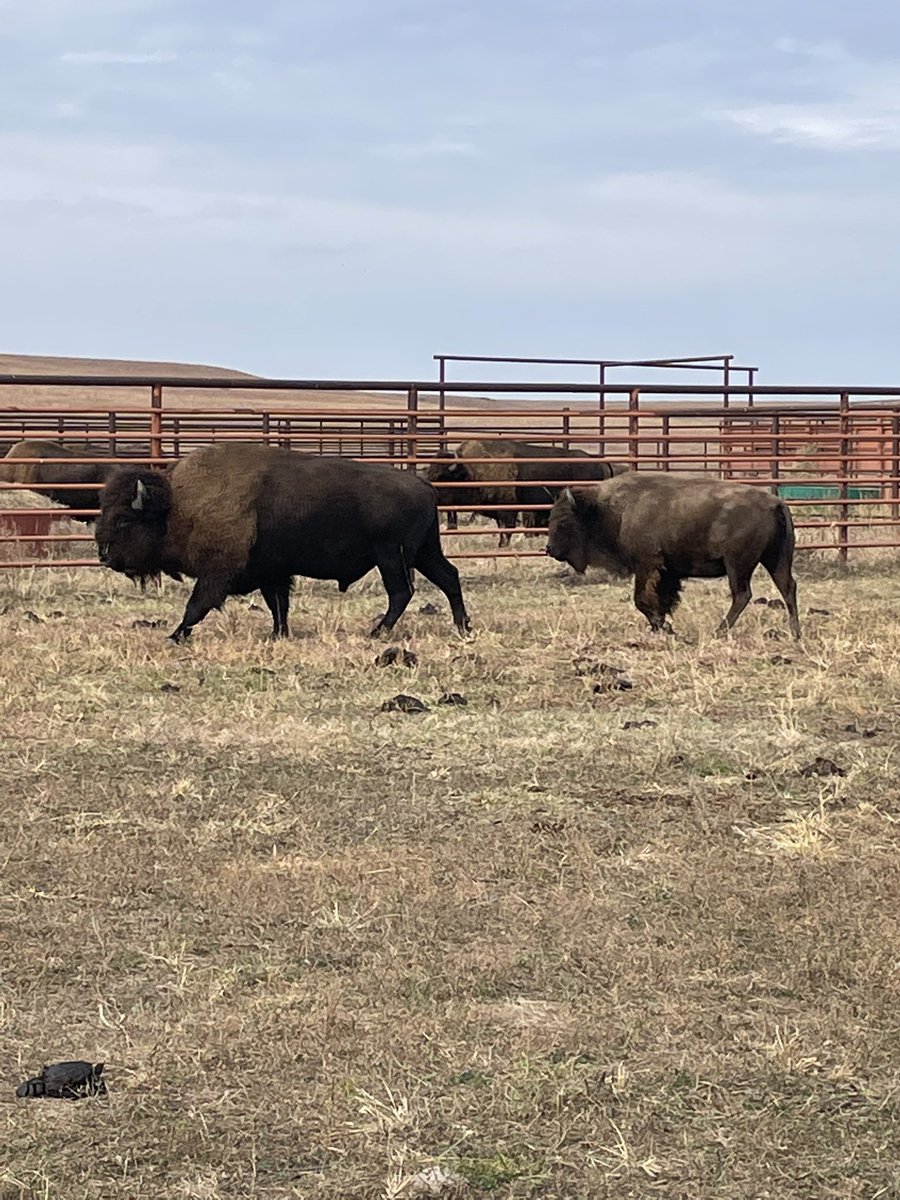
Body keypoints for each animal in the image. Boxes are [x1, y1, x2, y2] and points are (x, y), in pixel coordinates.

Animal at [95, 442, 471, 643]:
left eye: (125, 519)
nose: (103, 555)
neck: (178, 505)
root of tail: (424, 486)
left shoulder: (217, 573)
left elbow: (196, 605)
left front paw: (175, 636)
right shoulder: (271, 572)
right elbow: (278, 605)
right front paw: (278, 634)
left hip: (391, 556)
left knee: (401, 592)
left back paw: (377, 633)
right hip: (423, 553)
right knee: (449, 577)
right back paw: (463, 627)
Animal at [546, 473, 801, 639]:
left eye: (564, 521)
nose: (549, 549)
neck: (609, 509)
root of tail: (777, 503)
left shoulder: (647, 564)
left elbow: (641, 599)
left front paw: (663, 627)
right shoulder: (668, 571)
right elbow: (663, 598)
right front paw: (662, 626)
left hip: (738, 564)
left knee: (742, 594)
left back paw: (718, 631)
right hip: (775, 559)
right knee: (787, 587)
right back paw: (795, 633)